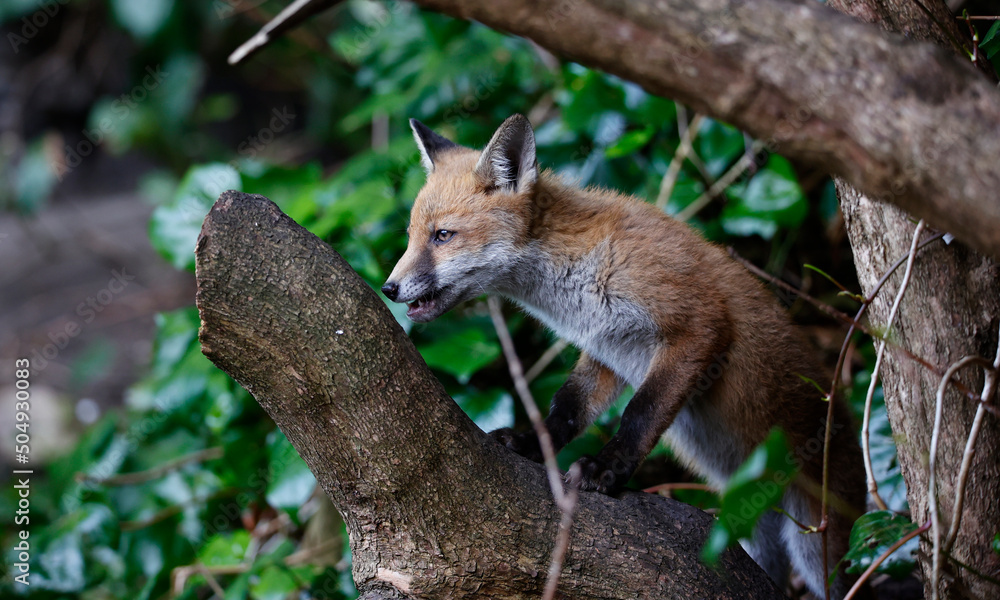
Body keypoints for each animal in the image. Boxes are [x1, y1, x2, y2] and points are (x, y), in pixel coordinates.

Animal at [381, 114, 867, 599]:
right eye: (410, 237)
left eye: (442, 236)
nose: (388, 288)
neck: (575, 282)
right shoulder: (609, 348)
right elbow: (568, 406)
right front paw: (531, 443)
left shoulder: (696, 327)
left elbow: (641, 412)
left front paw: (608, 469)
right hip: (751, 529)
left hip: (816, 542)